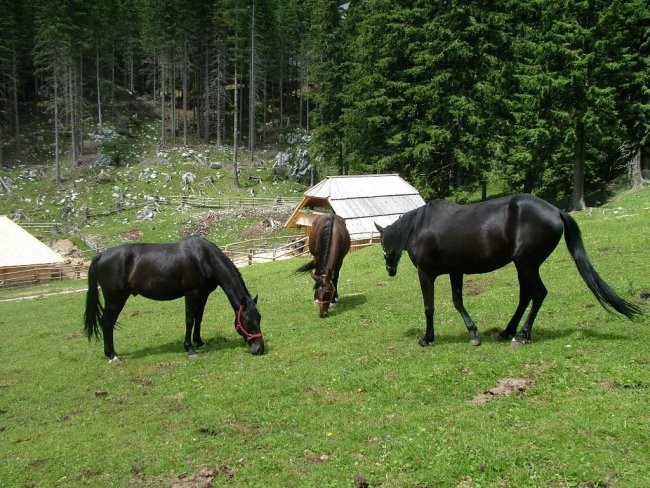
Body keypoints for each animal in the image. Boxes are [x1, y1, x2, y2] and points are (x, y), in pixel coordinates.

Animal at [84, 236, 264, 358]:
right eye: (246, 321)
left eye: (259, 318)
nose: (259, 349)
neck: (203, 257)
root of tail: (102, 255)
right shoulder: (191, 293)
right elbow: (190, 320)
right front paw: (189, 348)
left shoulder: (203, 294)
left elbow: (199, 318)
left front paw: (199, 342)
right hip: (115, 299)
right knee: (107, 323)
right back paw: (112, 354)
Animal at [372, 193, 640, 346]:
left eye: (383, 244)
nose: (389, 270)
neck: (419, 228)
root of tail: (556, 211)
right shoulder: (456, 272)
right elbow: (458, 302)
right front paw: (473, 333)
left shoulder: (426, 274)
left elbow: (429, 307)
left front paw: (427, 338)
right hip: (524, 266)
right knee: (526, 296)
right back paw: (508, 331)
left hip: (527, 264)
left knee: (538, 294)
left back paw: (521, 335)